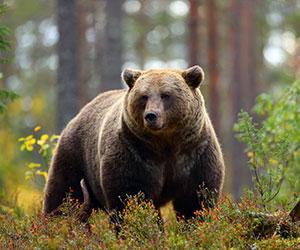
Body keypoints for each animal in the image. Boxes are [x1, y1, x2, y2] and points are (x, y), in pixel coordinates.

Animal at [42, 65, 225, 222]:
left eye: (166, 94)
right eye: (144, 96)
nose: (151, 115)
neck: (166, 144)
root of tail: (79, 114)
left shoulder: (195, 153)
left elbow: (195, 201)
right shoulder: (134, 153)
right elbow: (131, 197)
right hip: (75, 155)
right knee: (64, 194)